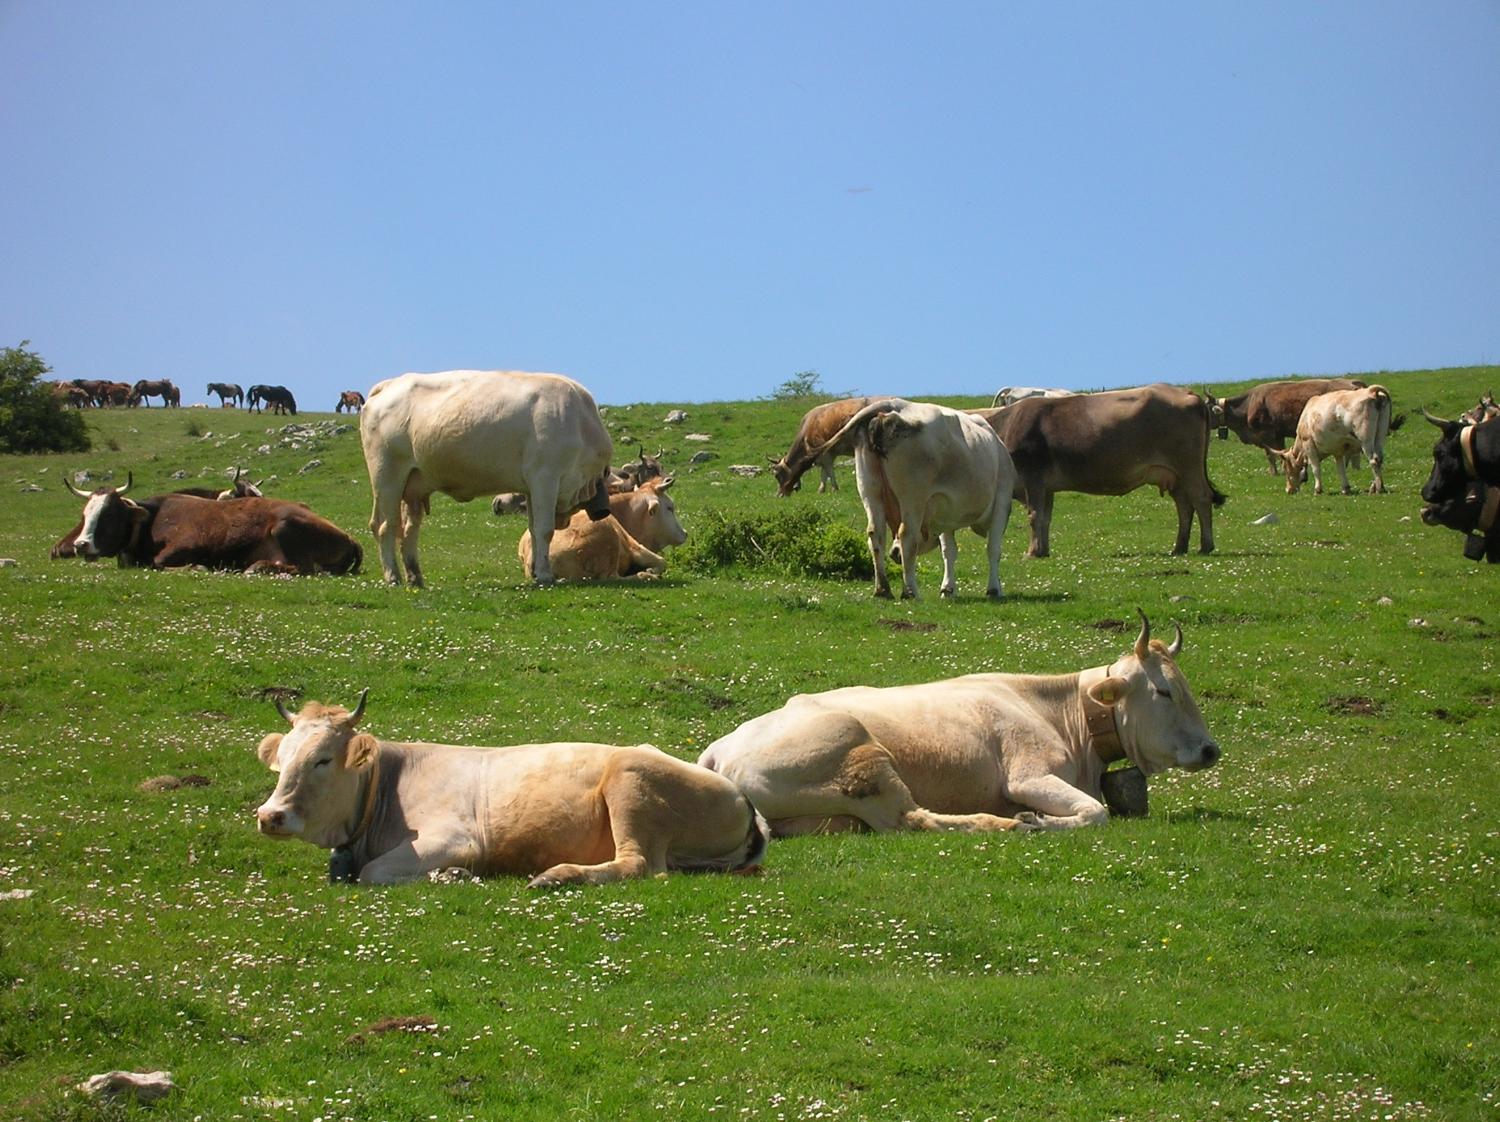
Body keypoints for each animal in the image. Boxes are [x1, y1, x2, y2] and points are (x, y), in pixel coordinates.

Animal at [253, 693, 768, 888]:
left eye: (322, 759)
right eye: (283, 759)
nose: (269, 815)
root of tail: (739, 795)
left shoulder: (454, 838)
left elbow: (371, 872)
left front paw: (453, 875)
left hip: (630, 779)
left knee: (640, 864)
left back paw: (557, 876)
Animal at [360, 372, 612, 591]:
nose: (603, 510)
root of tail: (390, 384)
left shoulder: (532, 487)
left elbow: (533, 529)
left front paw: (535, 572)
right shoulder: (545, 478)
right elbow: (544, 530)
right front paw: (544, 575)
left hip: (413, 486)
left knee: (408, 531)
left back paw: (415, 578)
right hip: (387, 478)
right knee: (386, 527)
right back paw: (393, 577)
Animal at [702, 615, 1218, 834]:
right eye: (1163, 691)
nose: (1211, 750)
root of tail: (719, 751)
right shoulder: (1028, 774)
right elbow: (1095, 813)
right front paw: (1040, 820)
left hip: (825, 816)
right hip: (863, 757)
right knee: (913, 818)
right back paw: (1002, 823)